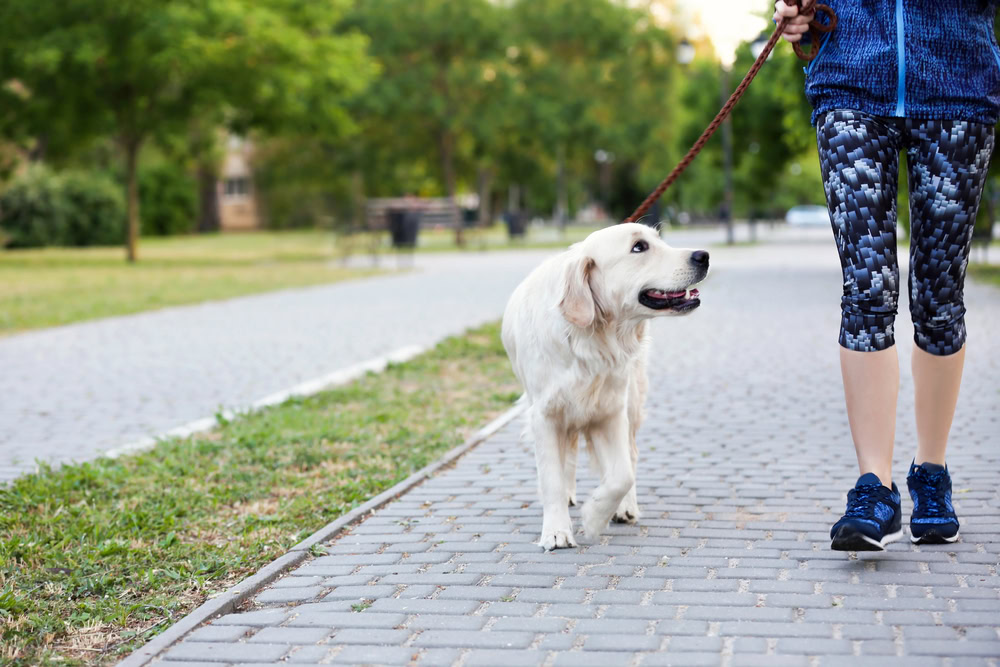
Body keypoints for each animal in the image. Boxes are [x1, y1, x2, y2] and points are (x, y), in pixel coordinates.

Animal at [504, 223, 708, 548]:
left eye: (658, 240)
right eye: (639, 247)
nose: (704, 256)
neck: (590, 338)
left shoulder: (611, 412)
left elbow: (621, 475)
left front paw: (595, 516)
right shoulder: (544, 415)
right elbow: (551, 476)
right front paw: (556, 530)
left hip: (632, 400)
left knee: (630, 456)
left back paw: (625, 507)